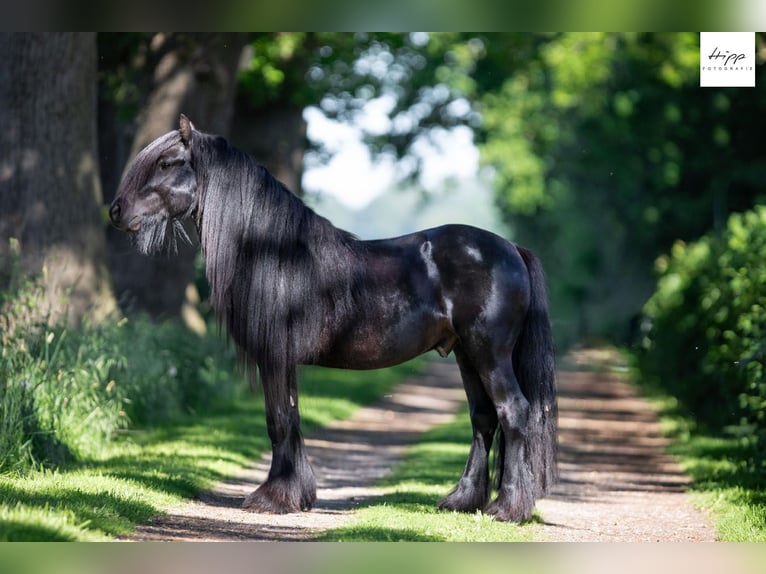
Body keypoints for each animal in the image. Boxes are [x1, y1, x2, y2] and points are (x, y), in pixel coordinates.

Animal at [109, 114, 557, 522]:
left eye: (167, 162)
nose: (115, 211)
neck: (275, 254)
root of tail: (511, 248)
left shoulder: (274, 357)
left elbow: (279, 420)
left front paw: (274, 499)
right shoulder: (280, 360)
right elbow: (288, 419)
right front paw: (296, 495)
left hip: (489, 354)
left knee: (513, 412)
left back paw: (506, 509)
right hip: (466, 355)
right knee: (483, 418)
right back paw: (462, 501)